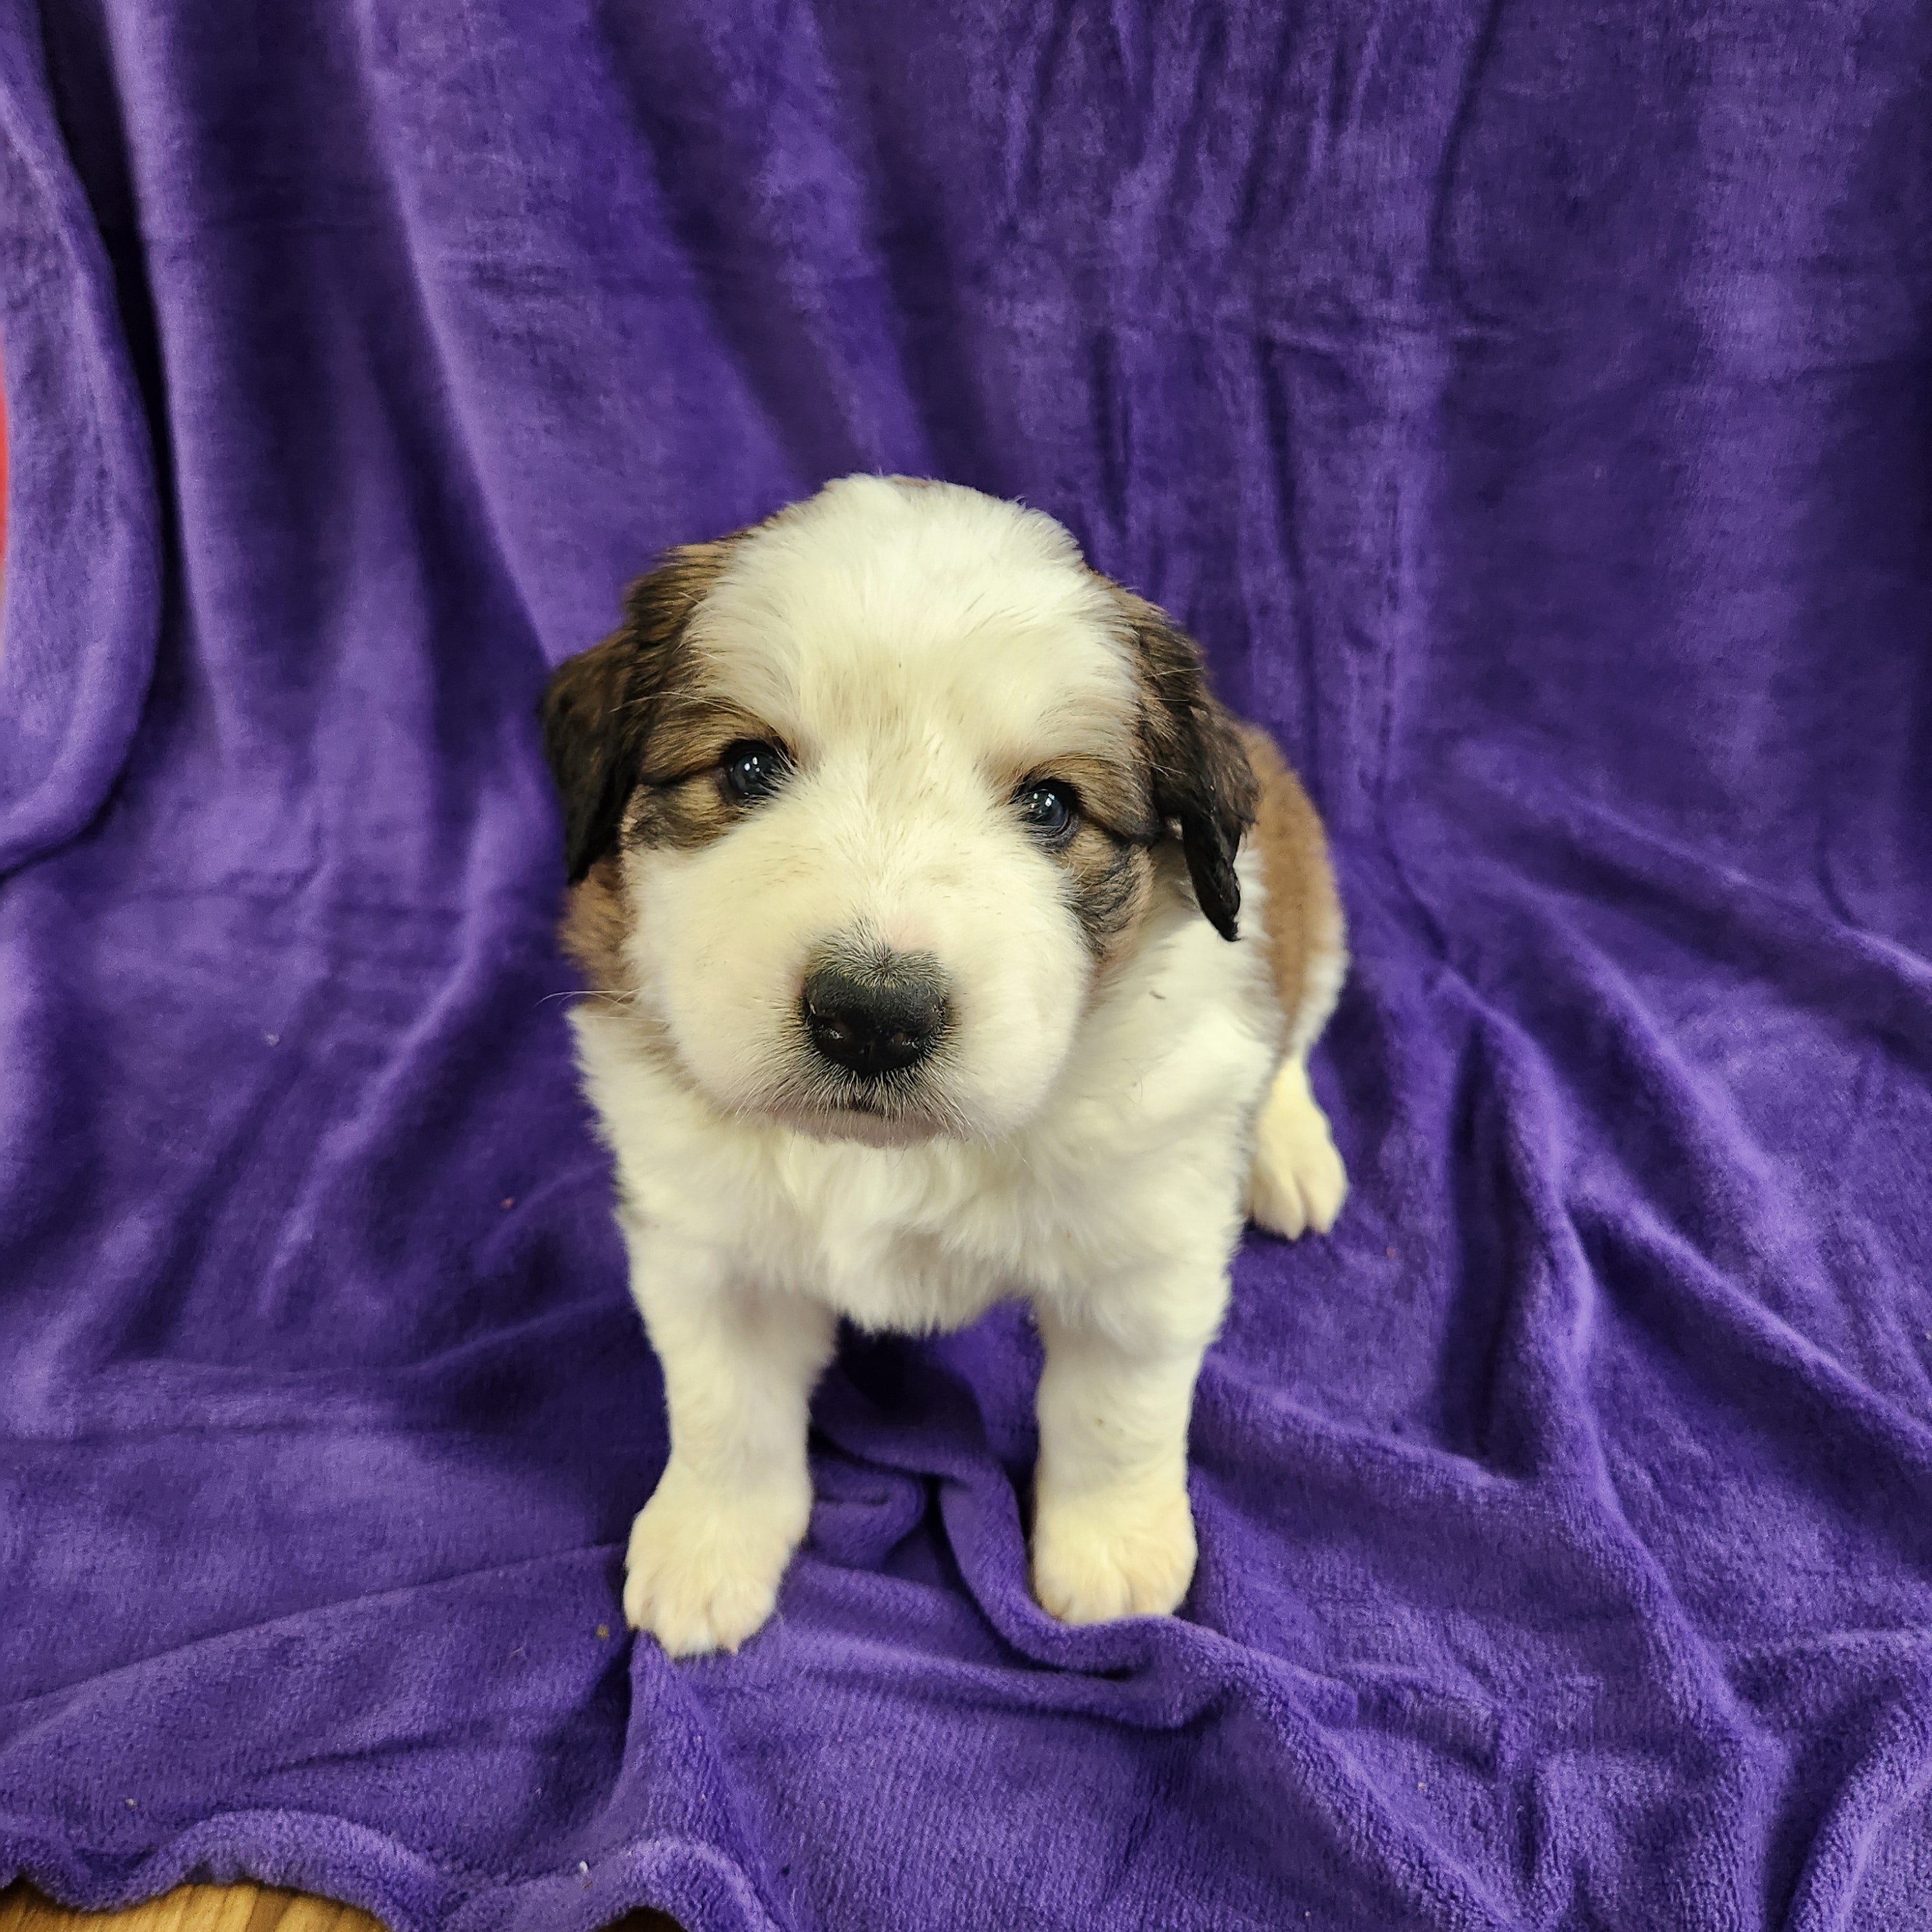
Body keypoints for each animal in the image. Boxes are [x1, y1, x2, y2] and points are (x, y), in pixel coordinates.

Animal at [540, 475, 1344, 1654]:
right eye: (746, 766)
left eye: (1051, 805)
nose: (873, 1017)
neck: (895, 1157)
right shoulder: (705, 1239)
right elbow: (726, 1403)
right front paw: (711, 1540)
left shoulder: (1142, 1243)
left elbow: (1116, 1408)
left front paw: (1111, 1551)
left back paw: (1286, 1150)